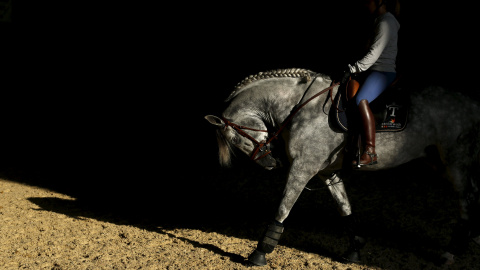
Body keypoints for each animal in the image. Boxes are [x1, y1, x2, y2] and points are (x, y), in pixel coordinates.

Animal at [203, 67, 480, 266]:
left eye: (235, 139)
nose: (270, 164)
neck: (299, 107)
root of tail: (472, 103)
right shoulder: (327, 172)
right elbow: (345, 208)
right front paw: (354, 250)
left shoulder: (302, 169)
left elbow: (282, 209)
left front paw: (259, 253)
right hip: (442, 163)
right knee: (473, 195)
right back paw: (472, 240)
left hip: (455, 162)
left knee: (466, 202)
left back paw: (450, 253)